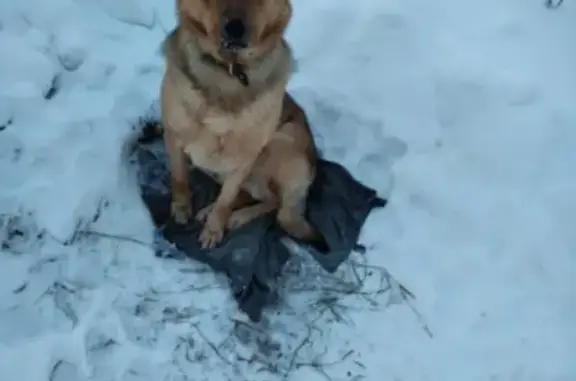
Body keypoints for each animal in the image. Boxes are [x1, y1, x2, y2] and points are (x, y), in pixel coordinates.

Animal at [160, 0, 318, 248]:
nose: (235, 29)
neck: (230, 73)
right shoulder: (173, 135)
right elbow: (179, 178)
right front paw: (181, 208)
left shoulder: (245, 158)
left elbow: (226, 199)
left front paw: (214, 229)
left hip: (280, 139)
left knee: (275, 202)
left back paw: (236, 217)